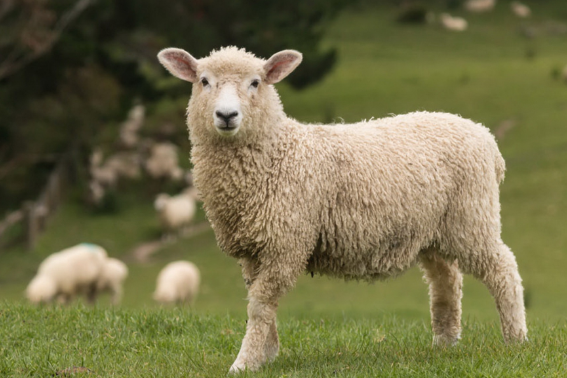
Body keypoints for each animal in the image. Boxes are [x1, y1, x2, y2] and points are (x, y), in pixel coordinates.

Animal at [156, 45, 528, 372]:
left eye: (256, 82)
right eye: (204, 81)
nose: (226, 115)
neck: (277, 153)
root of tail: (485, 137)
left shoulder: (285, 243)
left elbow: (261, 305)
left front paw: (245, 362)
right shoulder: (254, 248)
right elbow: (258, 301)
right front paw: (267, 354)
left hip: (473, 217)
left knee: (503, 268)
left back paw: (516, 340)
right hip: (433, 230)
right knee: (446, 280)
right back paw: (445, 344)